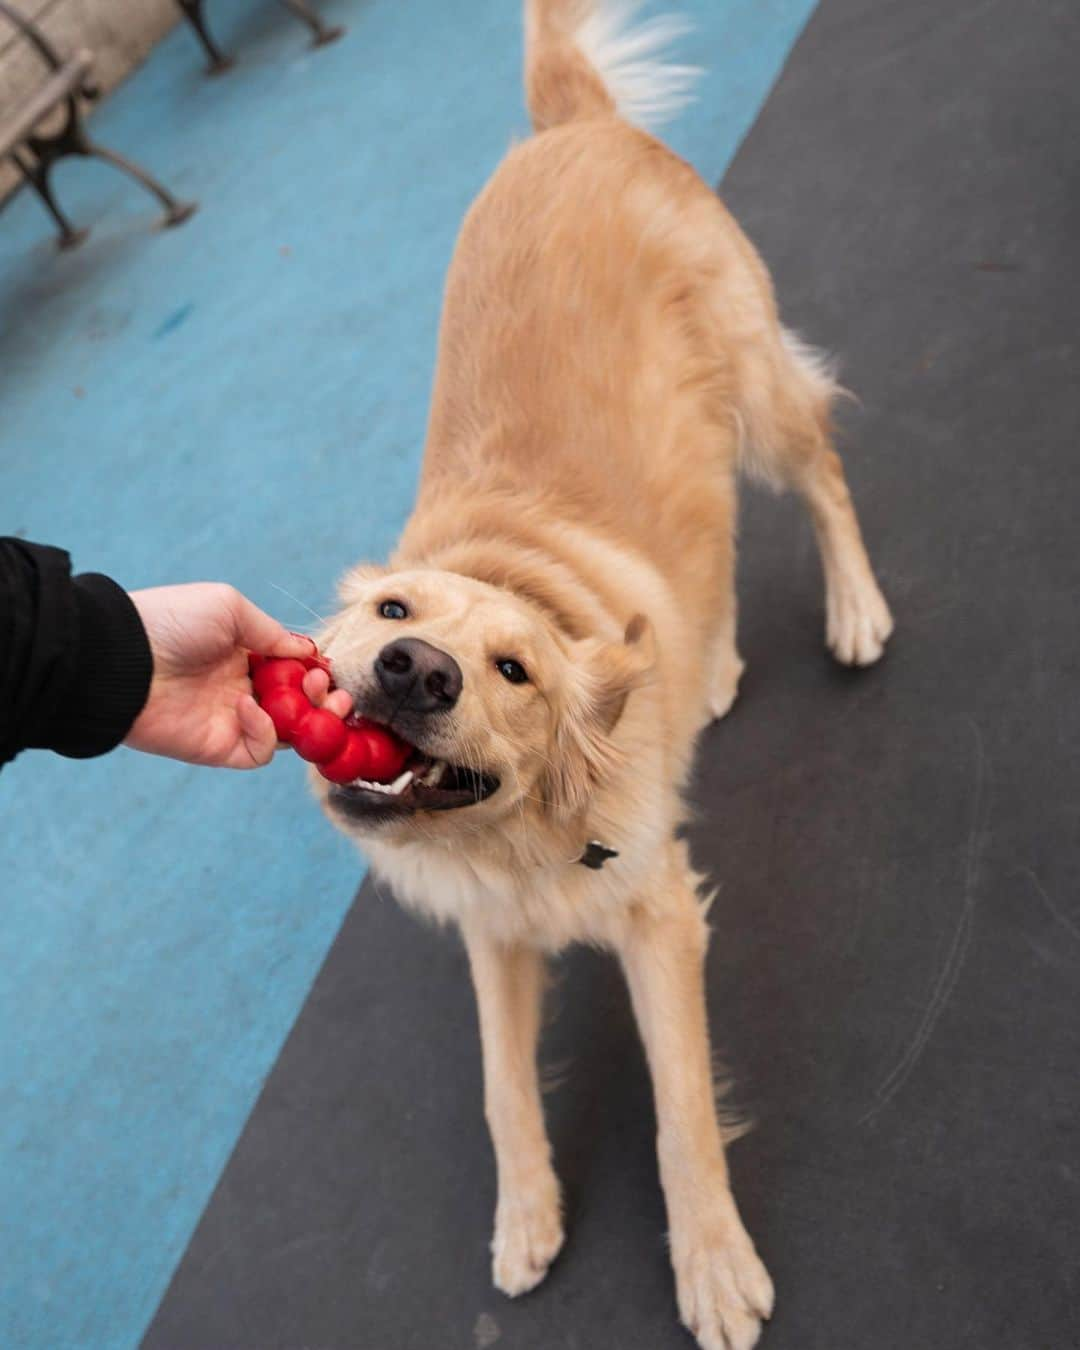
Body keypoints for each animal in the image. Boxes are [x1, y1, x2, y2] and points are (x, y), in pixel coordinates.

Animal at [314, 5, 896, 1344]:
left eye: (513, 670)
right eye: (391, 611)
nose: (413, 671)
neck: (517, 839)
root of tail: (568, 126)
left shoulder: (659, 914)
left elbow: (682, 1114)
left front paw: (714, 1267)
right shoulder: (493, 936)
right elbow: (500, 1085)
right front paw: (526, 1215)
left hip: (754, 386)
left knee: (823, 472)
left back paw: (854, 607)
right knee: (707, 553)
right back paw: (708, 667)